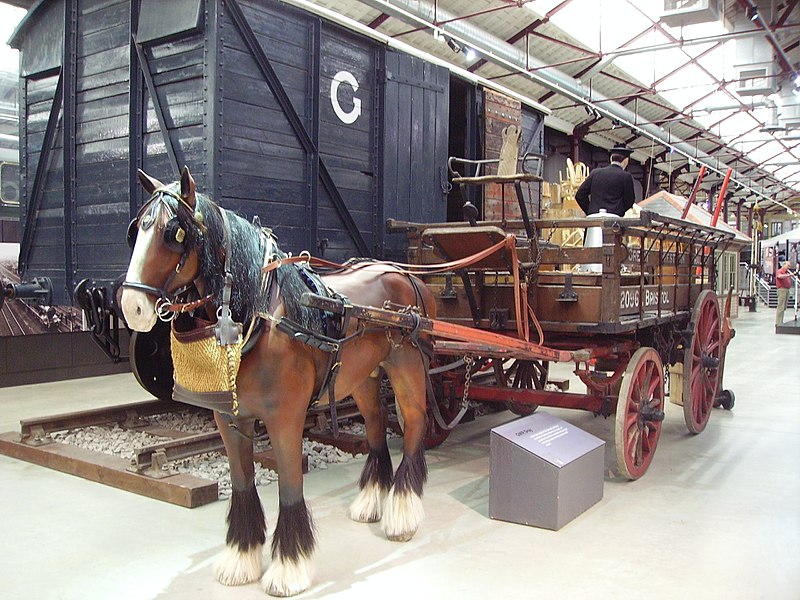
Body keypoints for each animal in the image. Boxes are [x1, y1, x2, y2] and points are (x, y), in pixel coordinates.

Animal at [122, 168, 438, 596]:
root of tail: (405, 274)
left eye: (175, 233)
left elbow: (289, 486)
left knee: (414, 421)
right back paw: (371, 501)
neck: (260, 317)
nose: (131, 307)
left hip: (407, 363)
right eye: (136, 228)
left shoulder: (285, 417)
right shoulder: (230, 418)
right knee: (375, 425)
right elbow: (243, 483)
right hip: (363, 375)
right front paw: (241, 557)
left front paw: (289, 567)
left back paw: (402, 512)